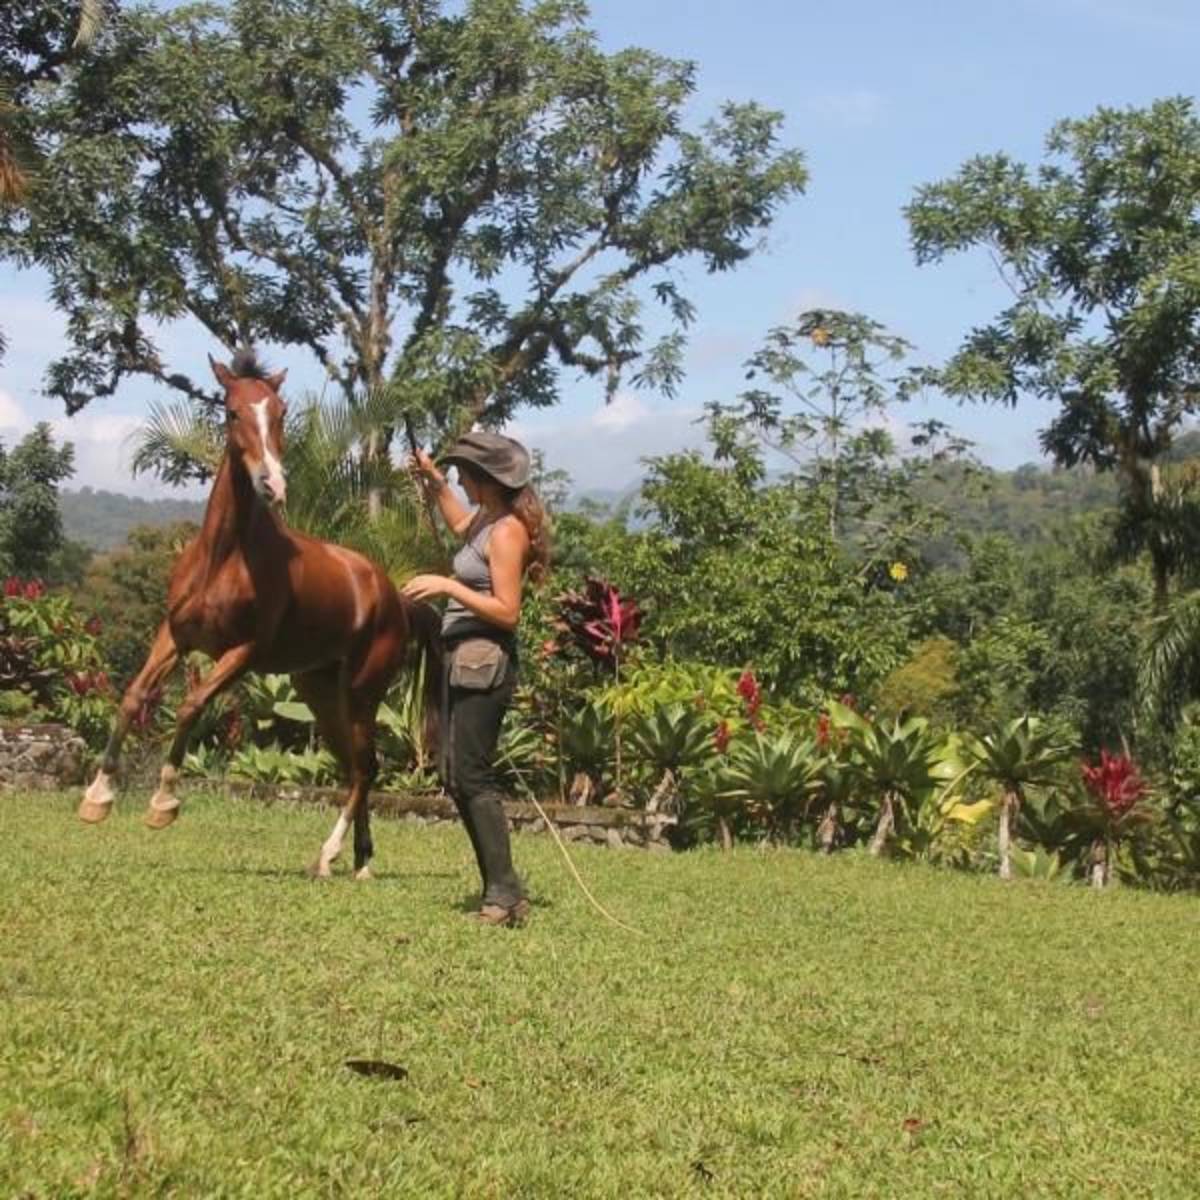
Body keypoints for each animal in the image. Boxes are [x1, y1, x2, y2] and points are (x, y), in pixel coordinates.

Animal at [78, 349, 442, 880]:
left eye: (280, 412)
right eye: (232, 412)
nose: (273, 483)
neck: (224, 557)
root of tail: (396, 598)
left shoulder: (243, 653)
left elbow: (190, 706)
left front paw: (163, 804)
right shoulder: (175, 636)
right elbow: (132, 697)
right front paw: (97, 797)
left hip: (362, 691)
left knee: (366, 768)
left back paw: (332, 855)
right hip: (319, 692)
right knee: (357, 766)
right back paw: (358, 860)